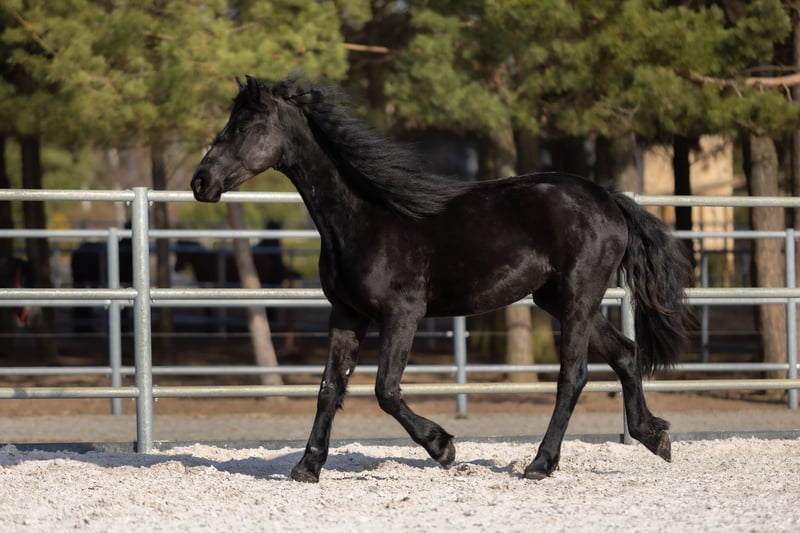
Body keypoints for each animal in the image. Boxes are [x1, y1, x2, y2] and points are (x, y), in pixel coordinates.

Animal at [190, 76, 693, 483]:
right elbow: (329, 389)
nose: (201, 181)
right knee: (625, 354)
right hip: (557, 300)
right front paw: (306, 467)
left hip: (577, 298)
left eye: (248, 126)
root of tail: (609, 199)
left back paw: (540, 464)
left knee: (574, 375)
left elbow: (385, 390)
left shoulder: (402, 314)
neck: (365, 216)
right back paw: (655, 437)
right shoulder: (347, 314)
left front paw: (444, 447)